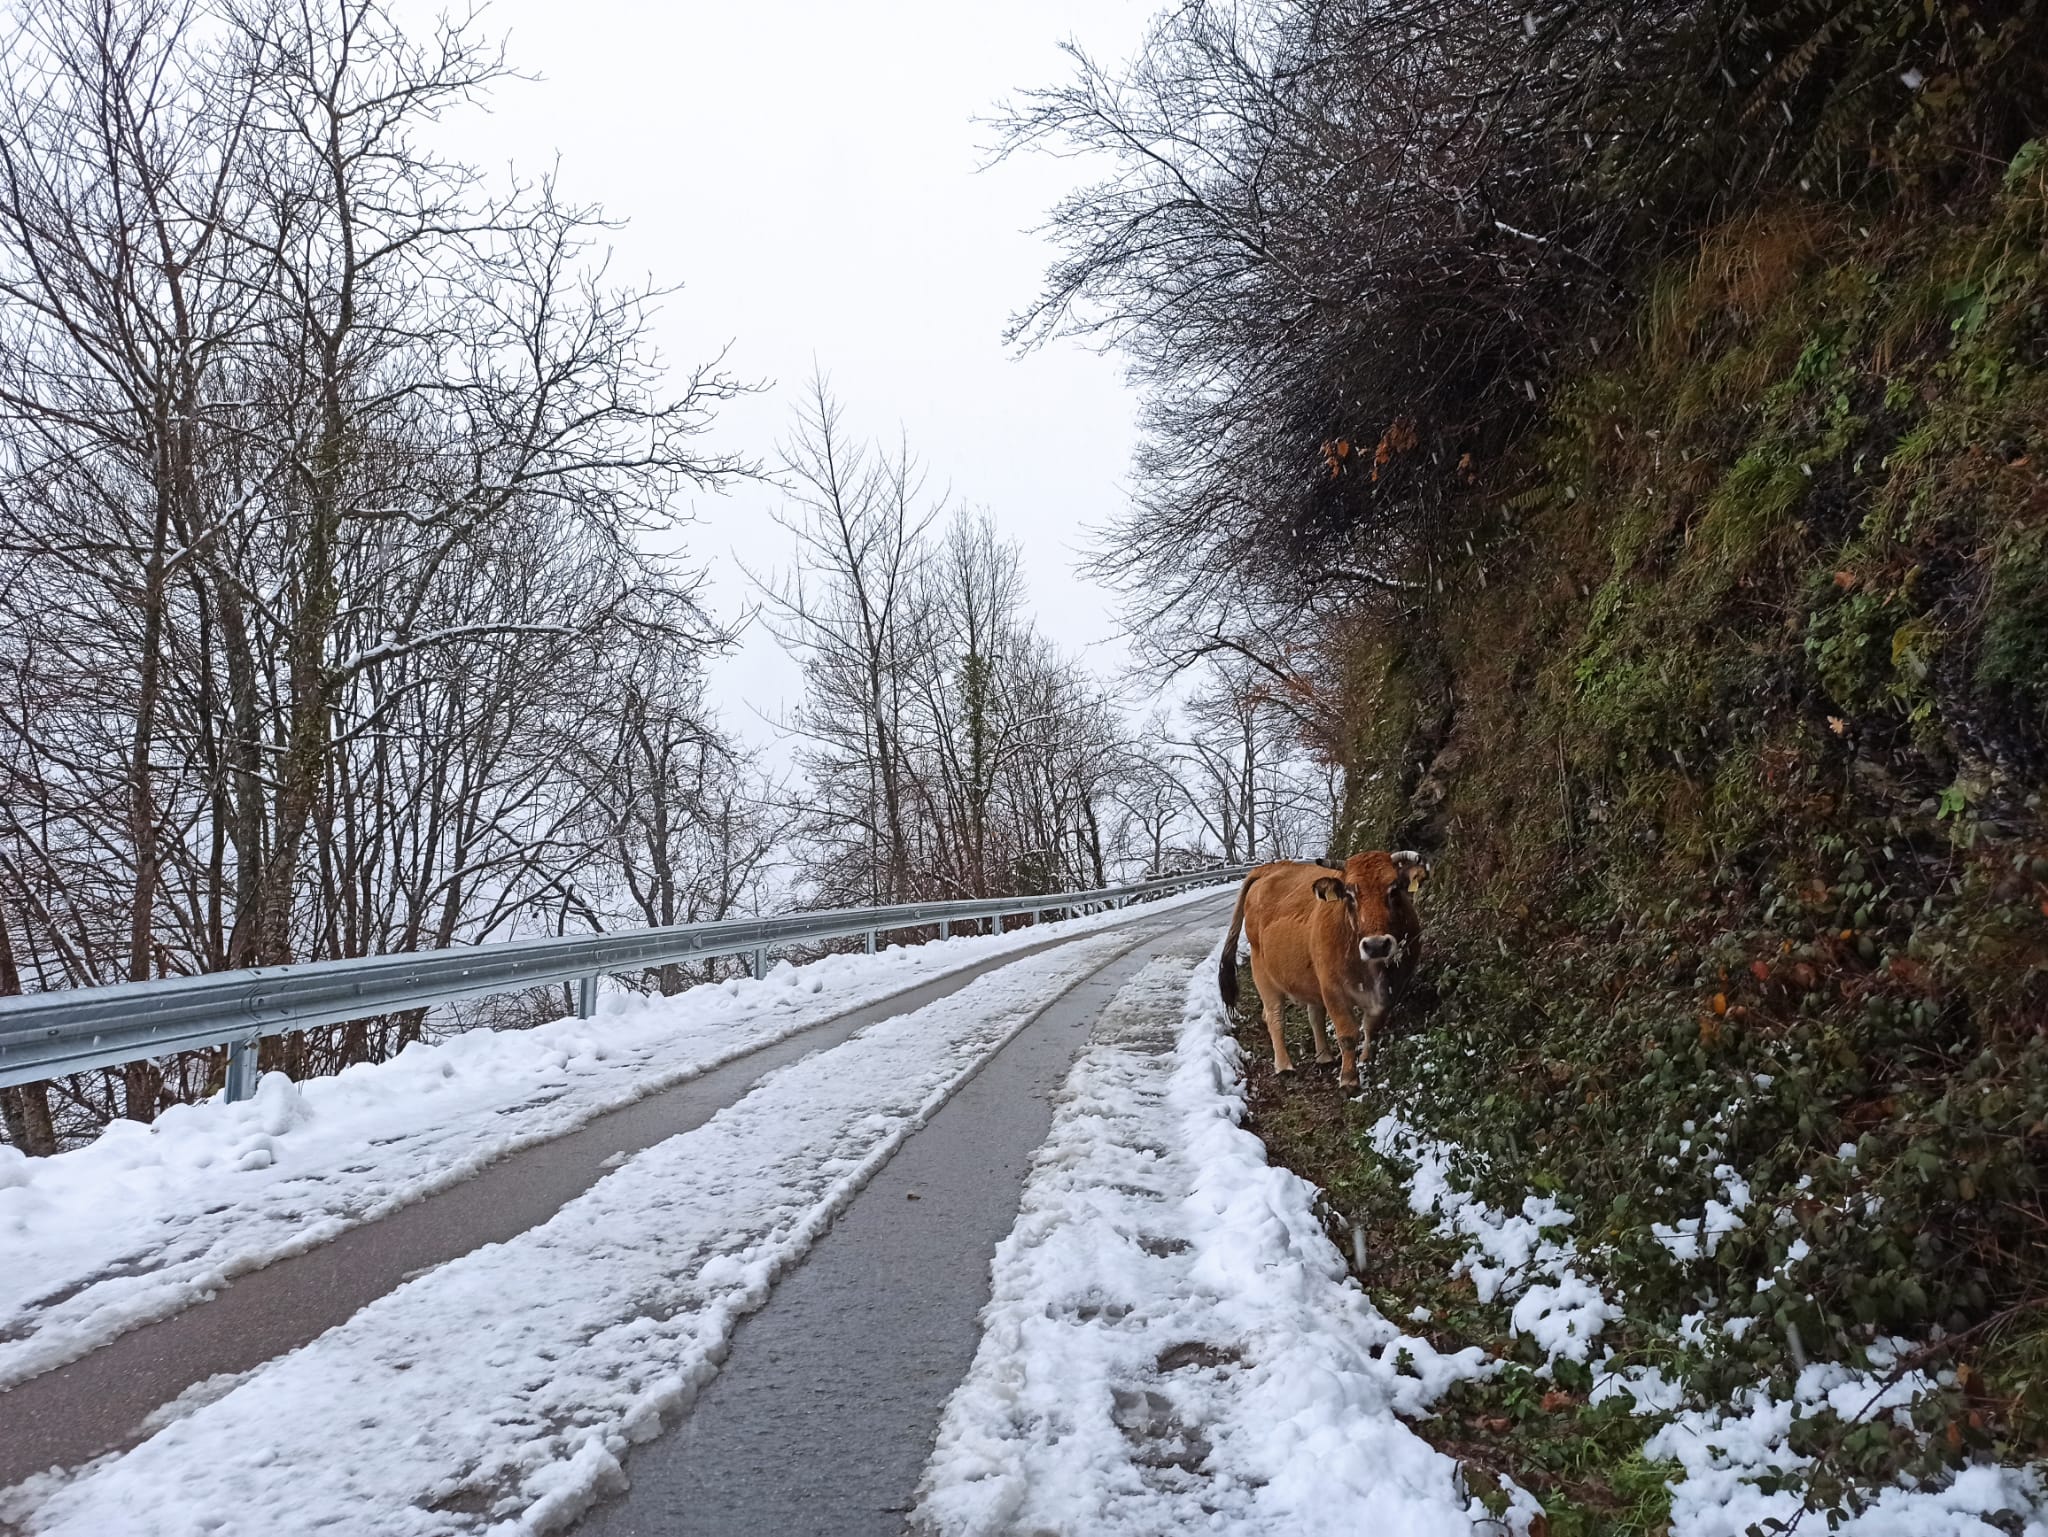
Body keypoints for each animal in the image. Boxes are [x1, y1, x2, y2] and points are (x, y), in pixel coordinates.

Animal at [1212, 856, 1425, 1098]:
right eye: (1349, 894)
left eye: (1394, 890)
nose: (1376, 945)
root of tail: (1271, 867)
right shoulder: (1333, 989)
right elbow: (1348, 1034)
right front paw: (1349, 1079)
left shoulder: (1393, 988)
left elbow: (1372, 1026)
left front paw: (1365, 1059)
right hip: (1261, 968)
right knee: (1274, 1016)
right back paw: (1284, 1066)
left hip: (1310, 977)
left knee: (1313, 1015)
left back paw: (1324, 1056)